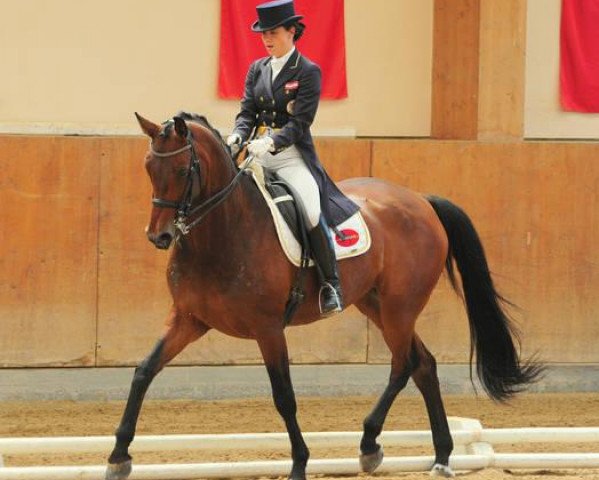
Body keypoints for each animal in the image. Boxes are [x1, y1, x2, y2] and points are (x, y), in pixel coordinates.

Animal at [105, 113, 540, 480]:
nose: (159, 236)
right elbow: (143, 372)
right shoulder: (189, 319)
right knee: (424, 364)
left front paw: (299, 463)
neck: (224, 230)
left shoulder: (267, 328)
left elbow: (284, 396)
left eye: (182, 170)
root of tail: (420, 201)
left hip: (399, 307)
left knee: (404, 364)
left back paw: (371, 444)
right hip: (375, 303)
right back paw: (441, 456)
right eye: (149, 167)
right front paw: (118, 456)